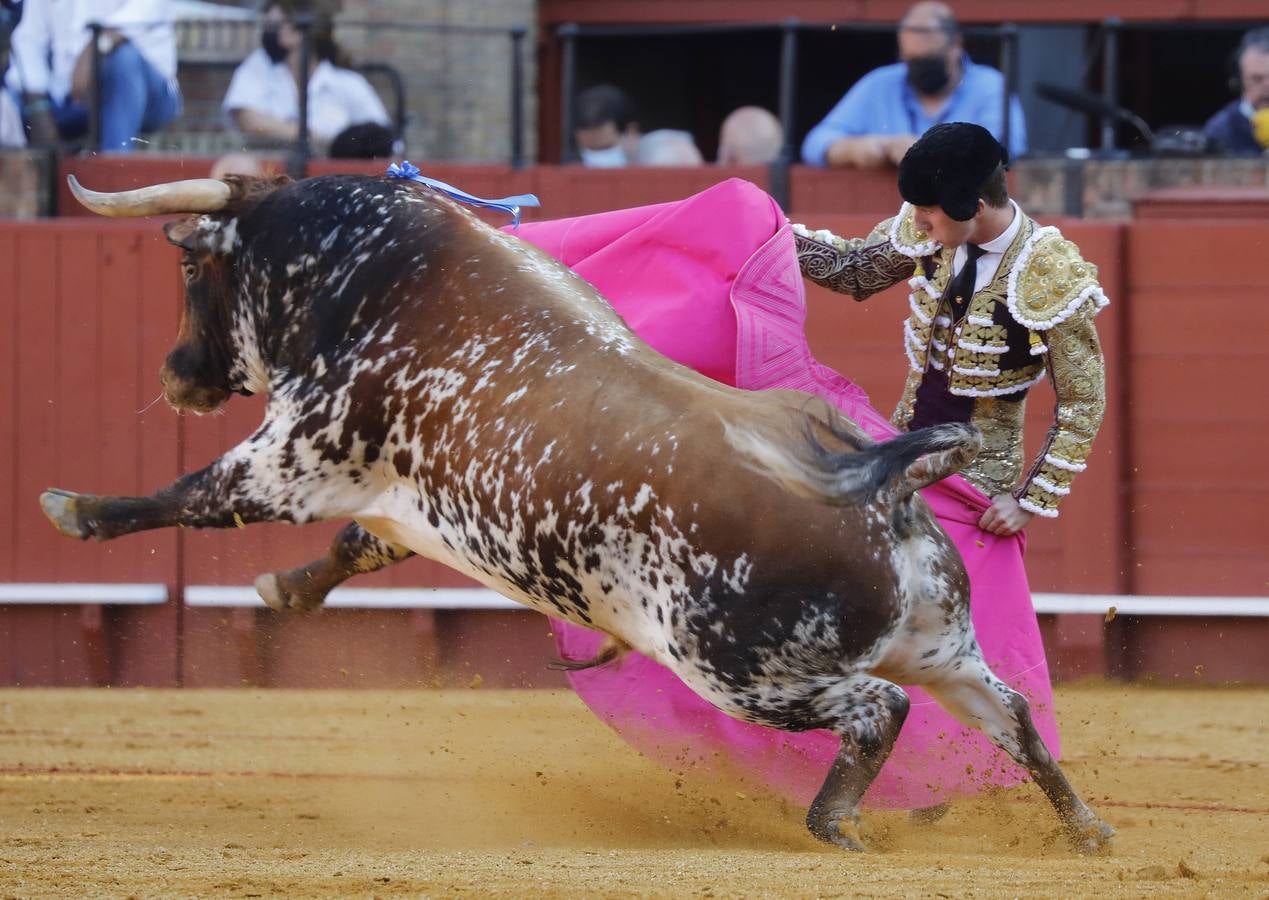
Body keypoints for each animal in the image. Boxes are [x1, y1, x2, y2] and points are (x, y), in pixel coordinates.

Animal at [42, 173, 1111, 847]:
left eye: (191, 271)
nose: (174, 378)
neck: (372, 280)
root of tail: (888, 494)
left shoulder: (298, 452)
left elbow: (192, 496)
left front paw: (73, 508)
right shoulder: (397, 499)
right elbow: (352, 547)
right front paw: (284, 589)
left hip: (738, 667)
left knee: (876, 710)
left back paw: (835, 824)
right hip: (940, 647)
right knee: (1013, 715)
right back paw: (1084, 830)